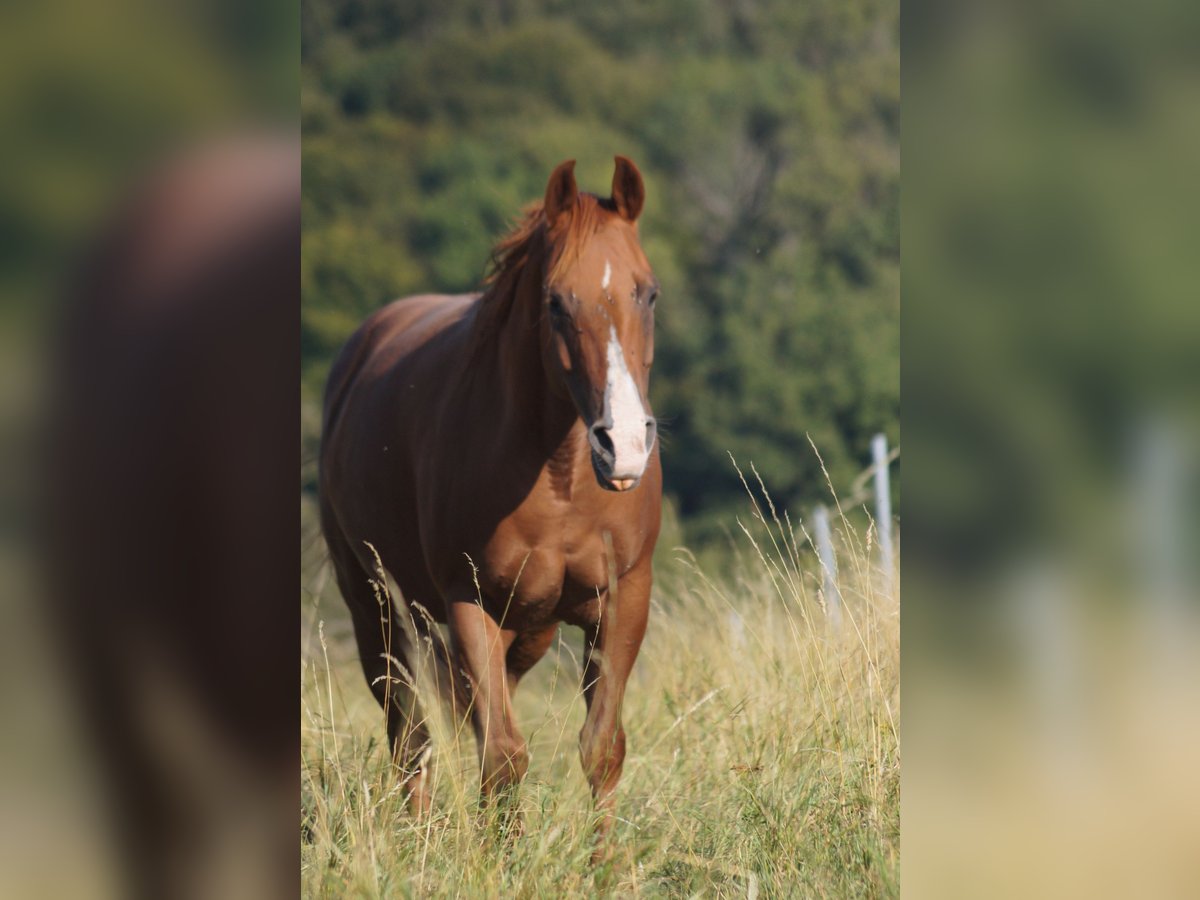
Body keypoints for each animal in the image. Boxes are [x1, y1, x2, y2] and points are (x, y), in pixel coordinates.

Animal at [319, 151, 662, 849]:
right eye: (555, 301)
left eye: (648, 292)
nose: (623, 445)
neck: (562, 477)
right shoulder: (469, 603)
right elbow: (502, 754)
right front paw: (500, 855)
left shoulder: (624, 601)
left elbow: (602, 747)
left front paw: (605, 863)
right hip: (377, 610)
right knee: (411, 736)